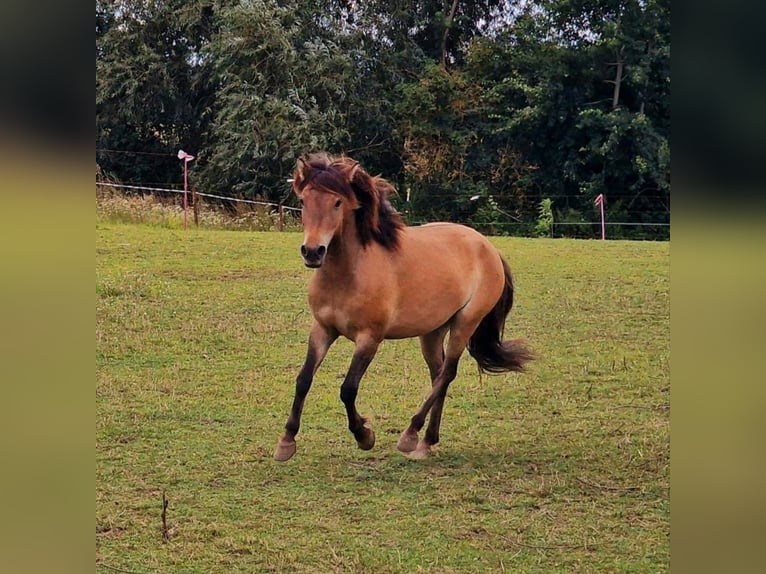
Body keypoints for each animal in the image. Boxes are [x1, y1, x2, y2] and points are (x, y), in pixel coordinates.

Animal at [274, 154, 536, 464]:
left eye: (337, 202)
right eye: (303, 201)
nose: (313, 252)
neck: (349, 273)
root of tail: (489, 248)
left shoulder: (369, 338)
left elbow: (348, 389)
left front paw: (364, 436)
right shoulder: (323, 330)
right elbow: (303, 379)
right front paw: (286, 442)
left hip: (465, 323)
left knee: (447, 373)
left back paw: (410, 436)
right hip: (433, 331)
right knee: (438, 375)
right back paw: (427, 441)